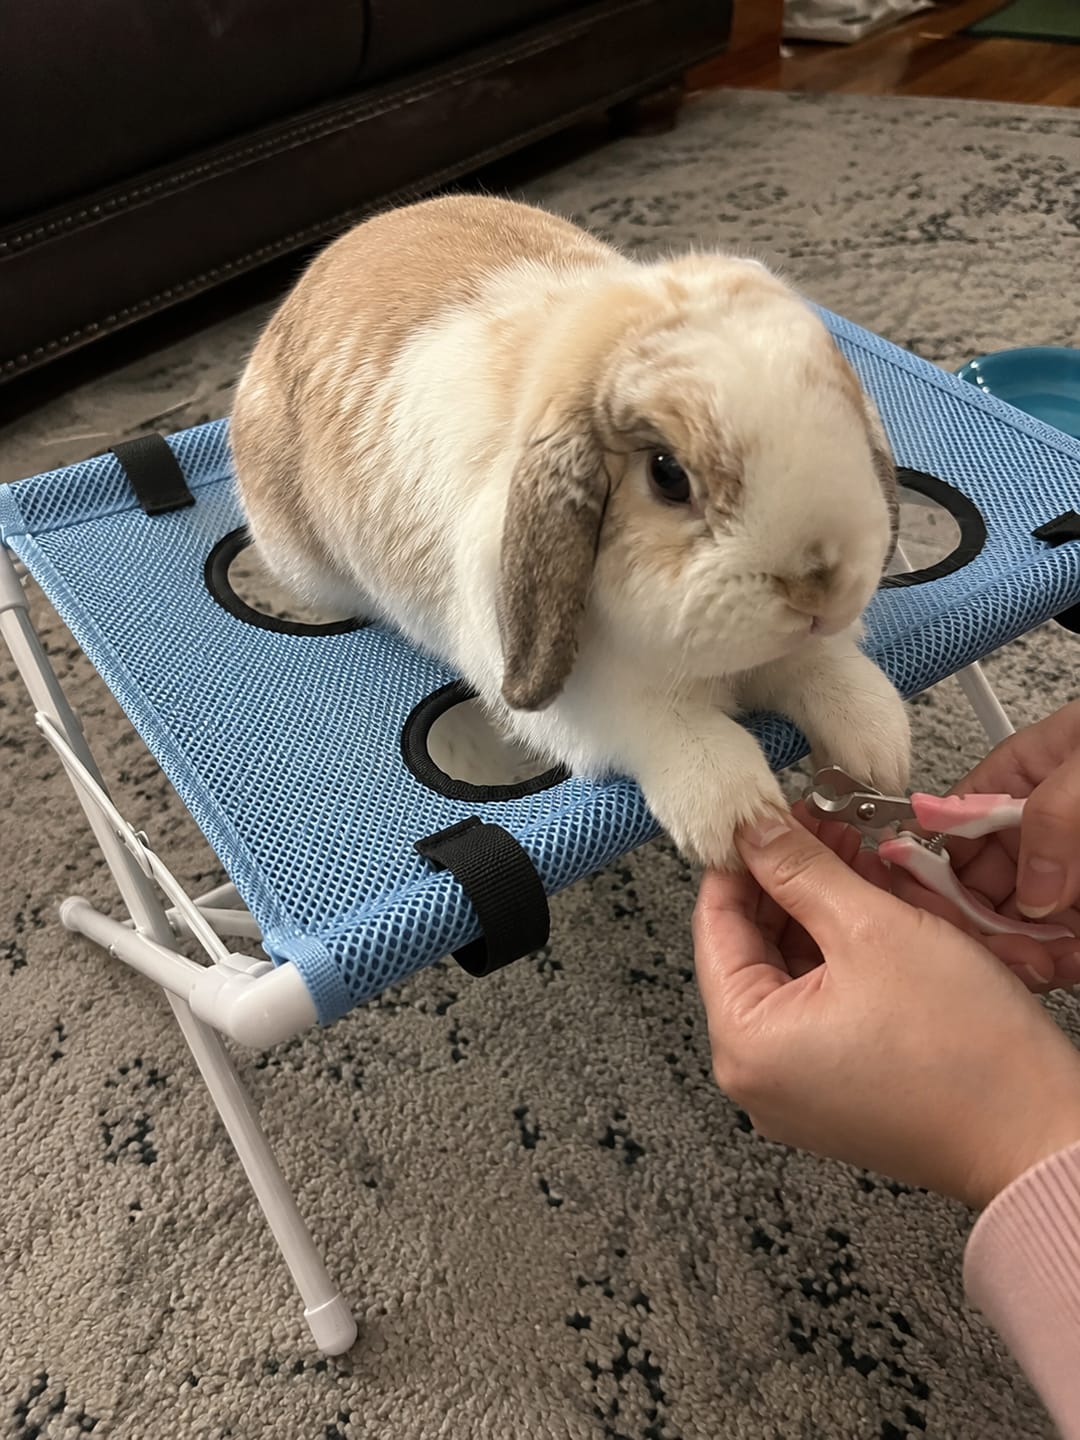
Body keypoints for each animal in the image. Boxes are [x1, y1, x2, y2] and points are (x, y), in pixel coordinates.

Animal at [230, 194, 910, 869]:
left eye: (845, 410)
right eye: (667, 475)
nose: (819, 592)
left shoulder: (798, 650)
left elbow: (820, 666)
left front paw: (880, 746)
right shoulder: (594, 700)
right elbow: (671, 729)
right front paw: (738, 817)